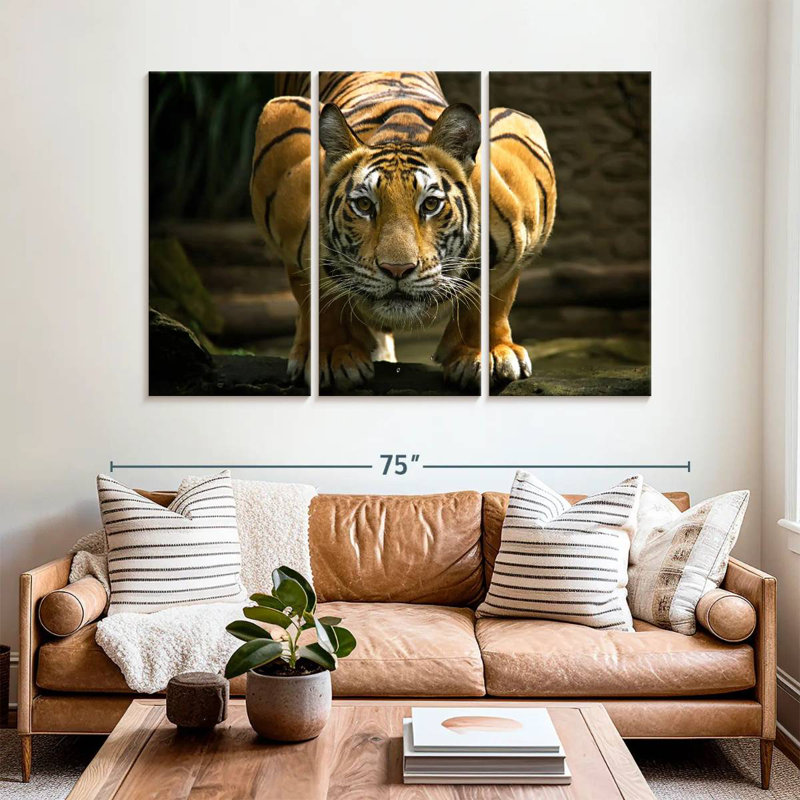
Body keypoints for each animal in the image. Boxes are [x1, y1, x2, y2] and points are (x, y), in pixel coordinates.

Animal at [250, 71, 555, 391]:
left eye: (430, 204)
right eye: (364, 205)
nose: (397, 269)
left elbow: (495, 295)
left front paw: (486, 353)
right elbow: (318, 294)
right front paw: (333, 354)